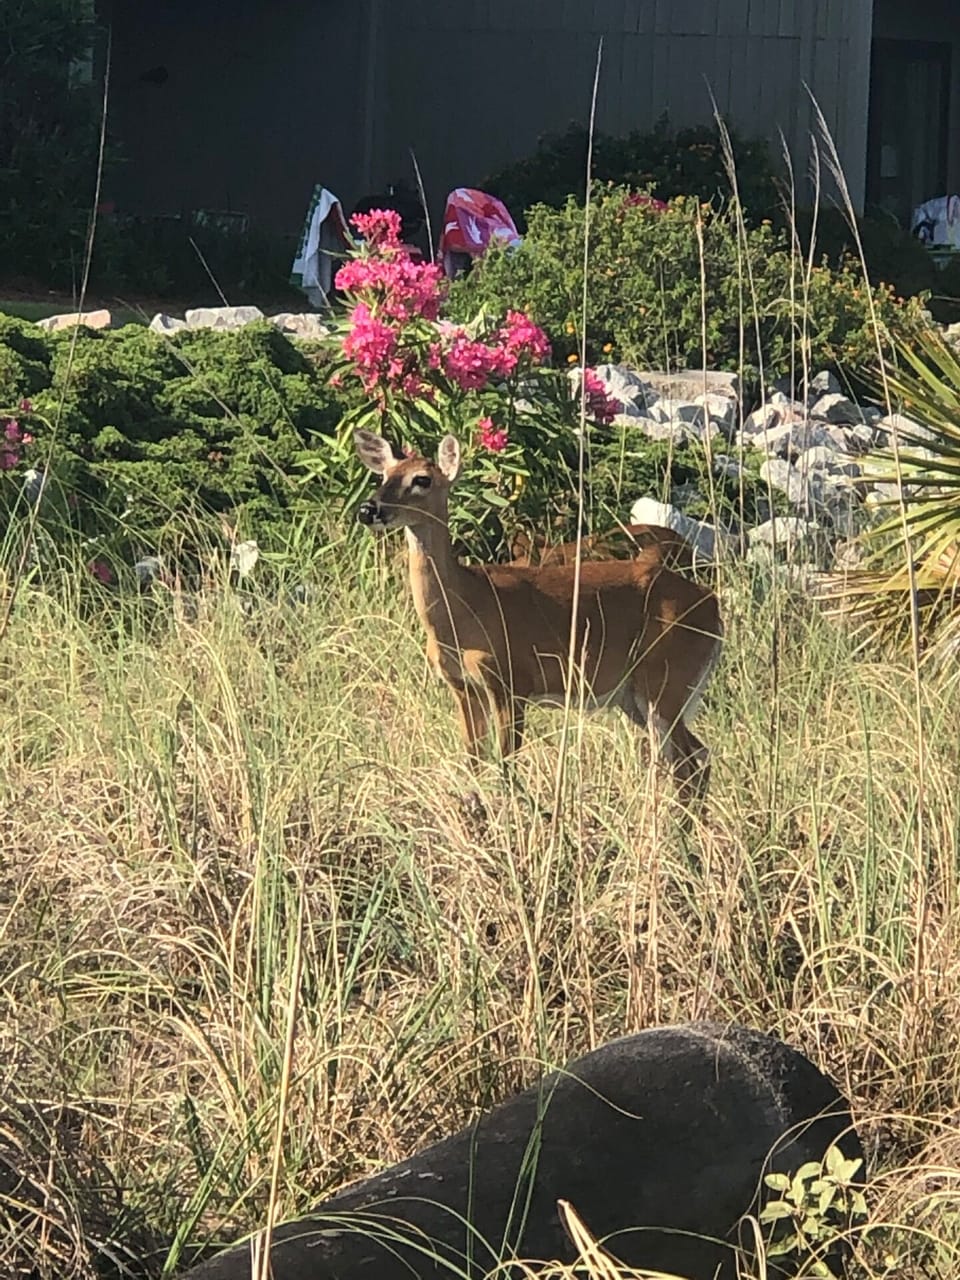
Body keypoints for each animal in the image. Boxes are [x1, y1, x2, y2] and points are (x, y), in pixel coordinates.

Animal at [354, 430, 723, 810]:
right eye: (384, 475)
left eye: (422, 480)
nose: (369, 509)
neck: (463, 610)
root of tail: (713, 607)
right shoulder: (463, 686)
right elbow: (474, 763)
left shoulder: (511, 679)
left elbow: (506, 765)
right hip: (636, 695)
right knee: (695, 757)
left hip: (665, 678)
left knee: (691, 761)